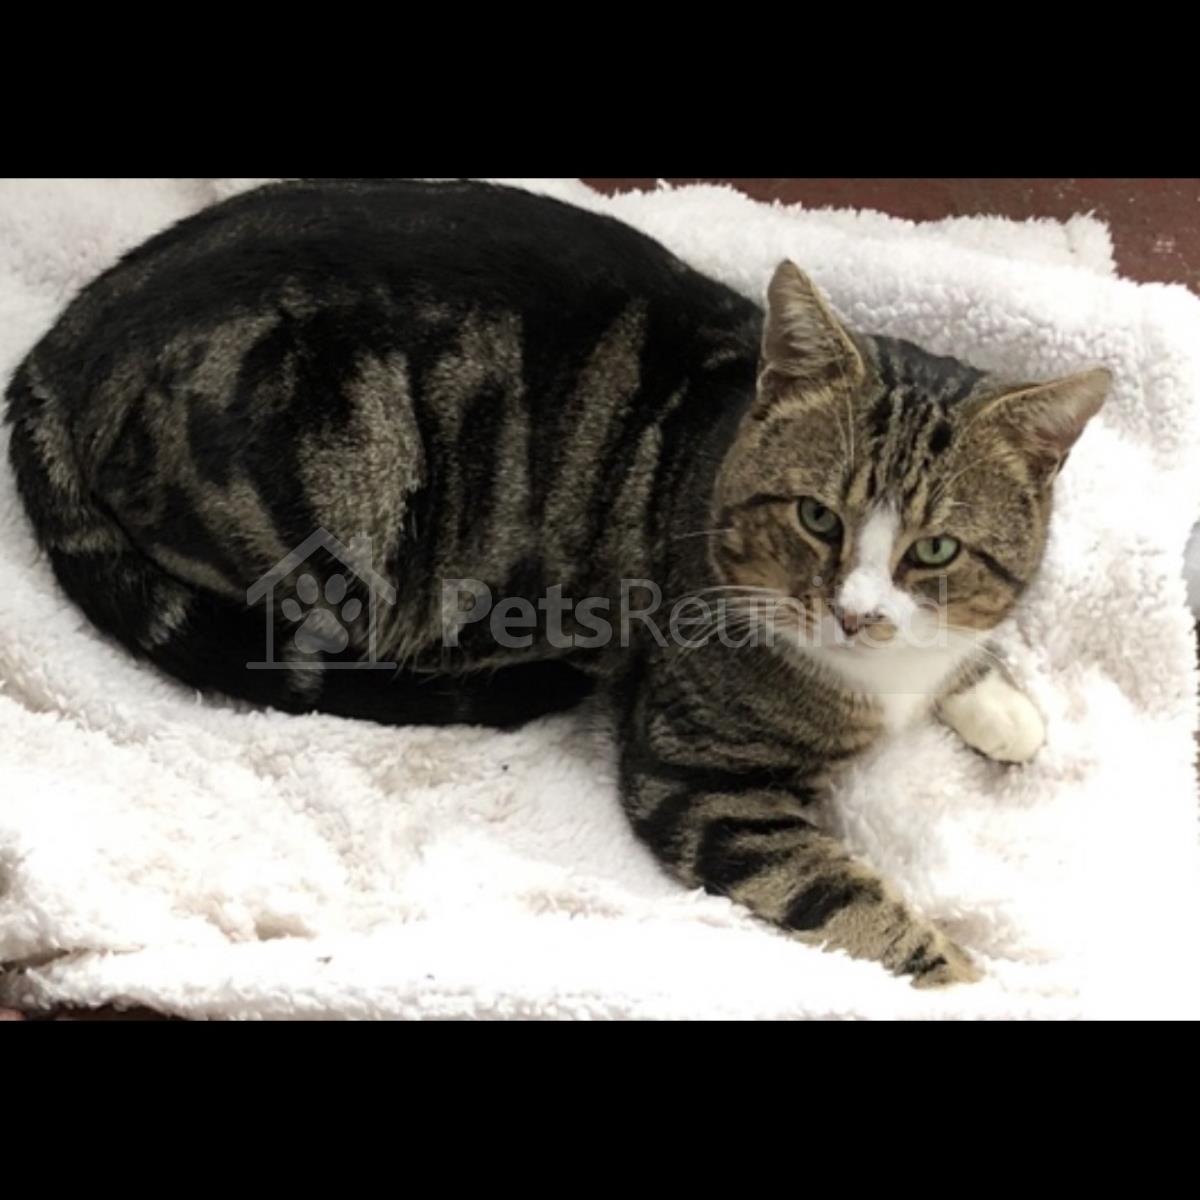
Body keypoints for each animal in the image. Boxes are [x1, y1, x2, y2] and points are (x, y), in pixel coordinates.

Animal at [4, 178, 1108, 987]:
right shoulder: (701, 780)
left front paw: (997, 696)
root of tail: (70, 335)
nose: (855, 614)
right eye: (817, 519)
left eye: (935, 551)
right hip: (334, 498)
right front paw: (976, 982)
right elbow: (848, 902)